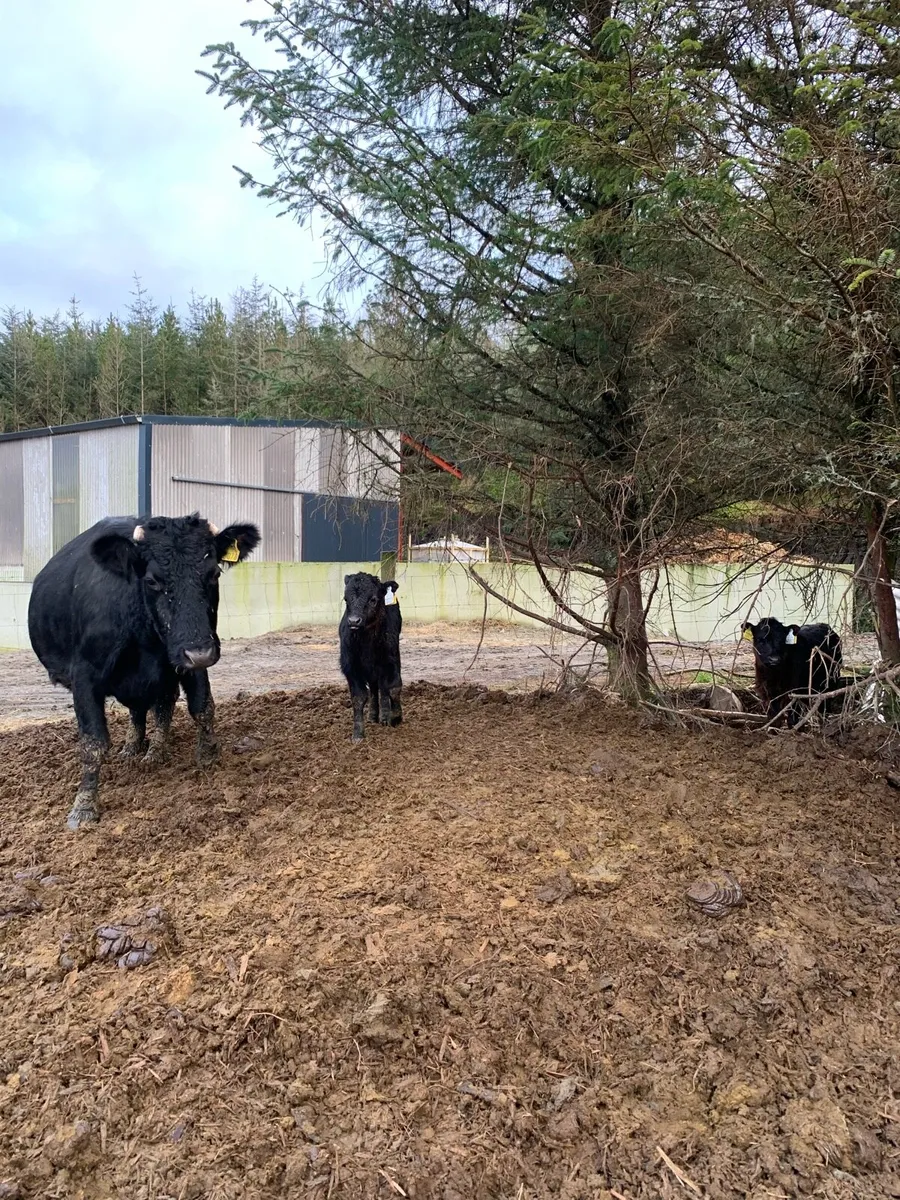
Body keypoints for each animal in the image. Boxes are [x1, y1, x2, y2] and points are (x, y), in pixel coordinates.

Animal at [28, 514, 260, 830]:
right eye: (151, 580)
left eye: (214, 574)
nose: (200, 652)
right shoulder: (84, 676)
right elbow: (93, 742)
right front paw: (84, 806)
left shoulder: (186, 660)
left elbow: (202, 708)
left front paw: (209, 758)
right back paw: (132, 748)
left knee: (158, 708)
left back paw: (154, 753)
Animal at [339, 572, 402, 742]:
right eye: (346, 599)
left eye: (373, 599)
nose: (354, 621)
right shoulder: (350, 667)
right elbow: (359, 697)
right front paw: (357, 734)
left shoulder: (391, 660)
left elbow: (394, 688)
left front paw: (396, 717)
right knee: (374, 688)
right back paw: (374, 715)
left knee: (383, 687)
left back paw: (385, 716)